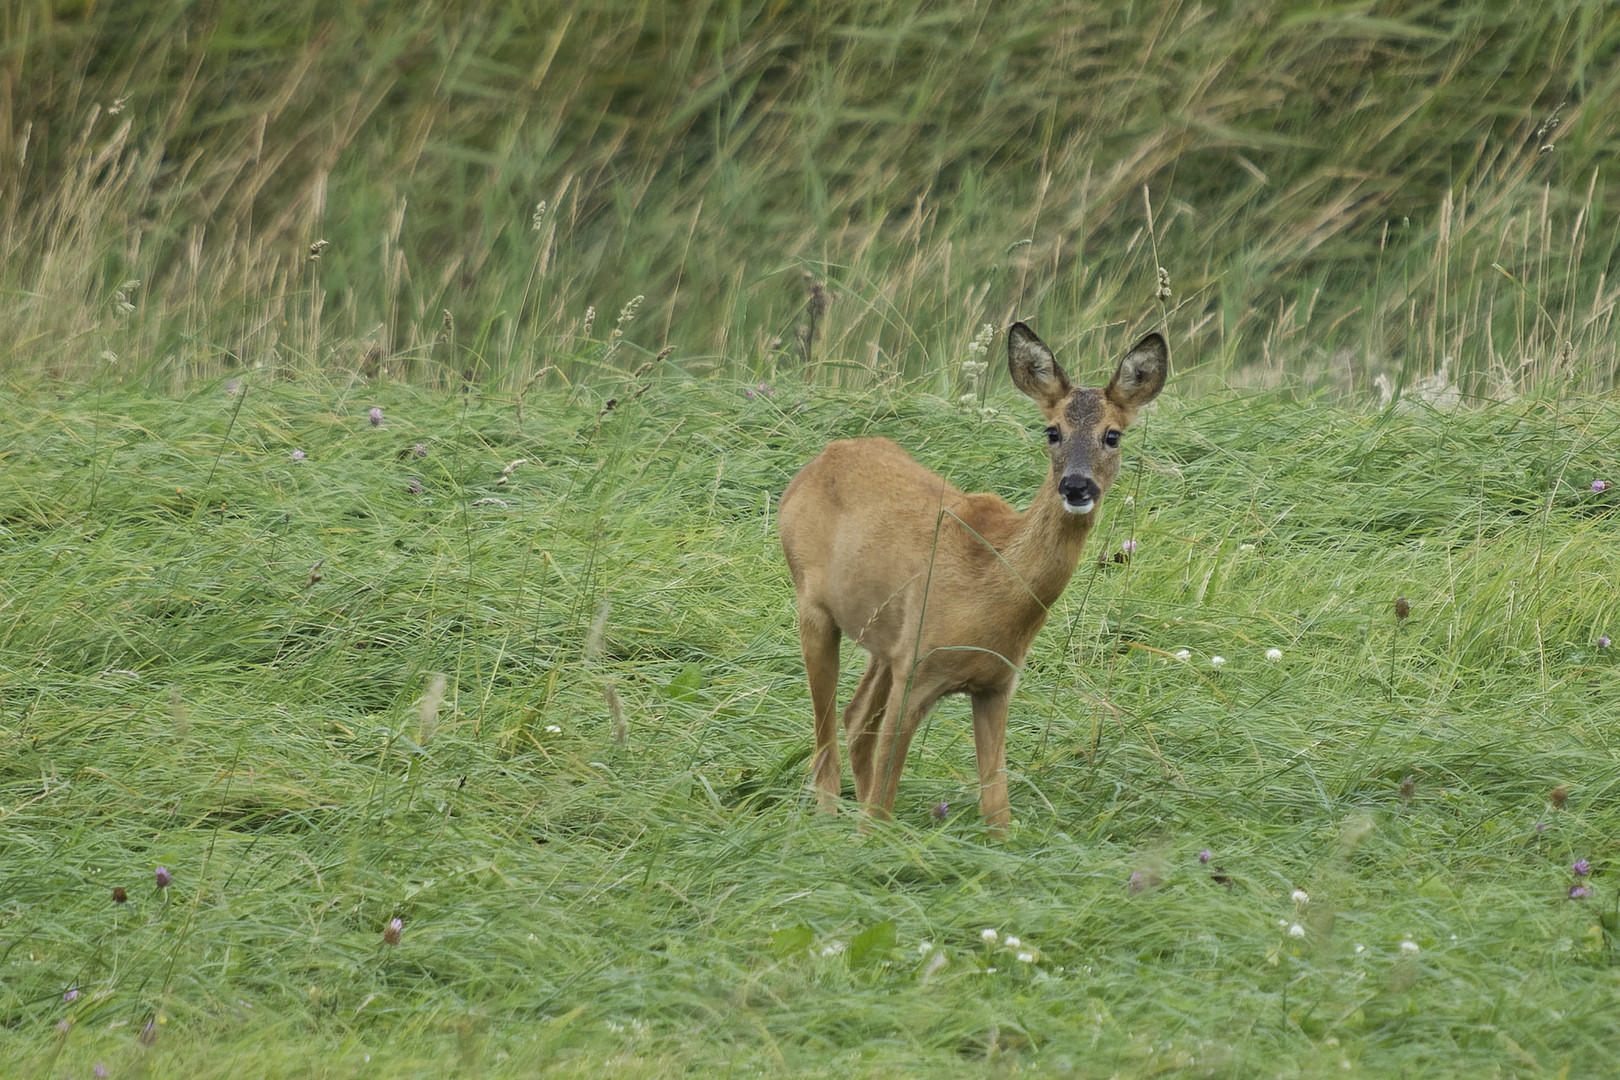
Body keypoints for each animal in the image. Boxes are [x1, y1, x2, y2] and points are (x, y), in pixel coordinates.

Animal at [774, 320, 1166, 829]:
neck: (988, 593)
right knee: (826, 736)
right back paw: (827, 822)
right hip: (814, 606)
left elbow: (997, 809)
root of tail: (816, 463)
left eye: (1113, 435)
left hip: (885, 639)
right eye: (1052, 431)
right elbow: (884, 800)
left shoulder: (995, 684)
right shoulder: (917, 671)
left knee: (856, 718)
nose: (1076, 486)